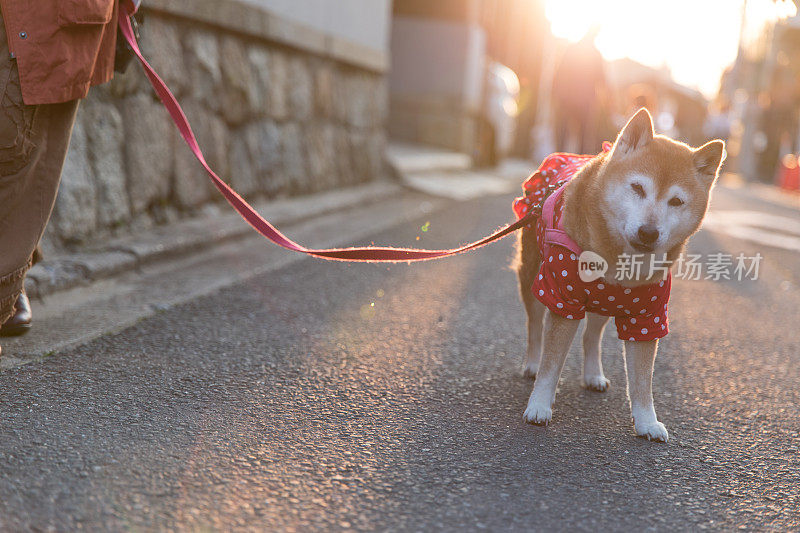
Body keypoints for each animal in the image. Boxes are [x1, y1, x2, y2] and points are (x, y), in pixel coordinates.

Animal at [512, 108, 724, 440]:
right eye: (637, 188)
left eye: (676, 201)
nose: (649, 232)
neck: (618, 260)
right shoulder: (564, 300)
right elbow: (551, 364)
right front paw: (539, 405)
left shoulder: (647, 317)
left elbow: (642, 381)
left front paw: (647, 421)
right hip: (534, 278)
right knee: (534, 327)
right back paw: (531, 364)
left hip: (605, 302)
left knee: (591, 337)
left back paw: (593, 374)